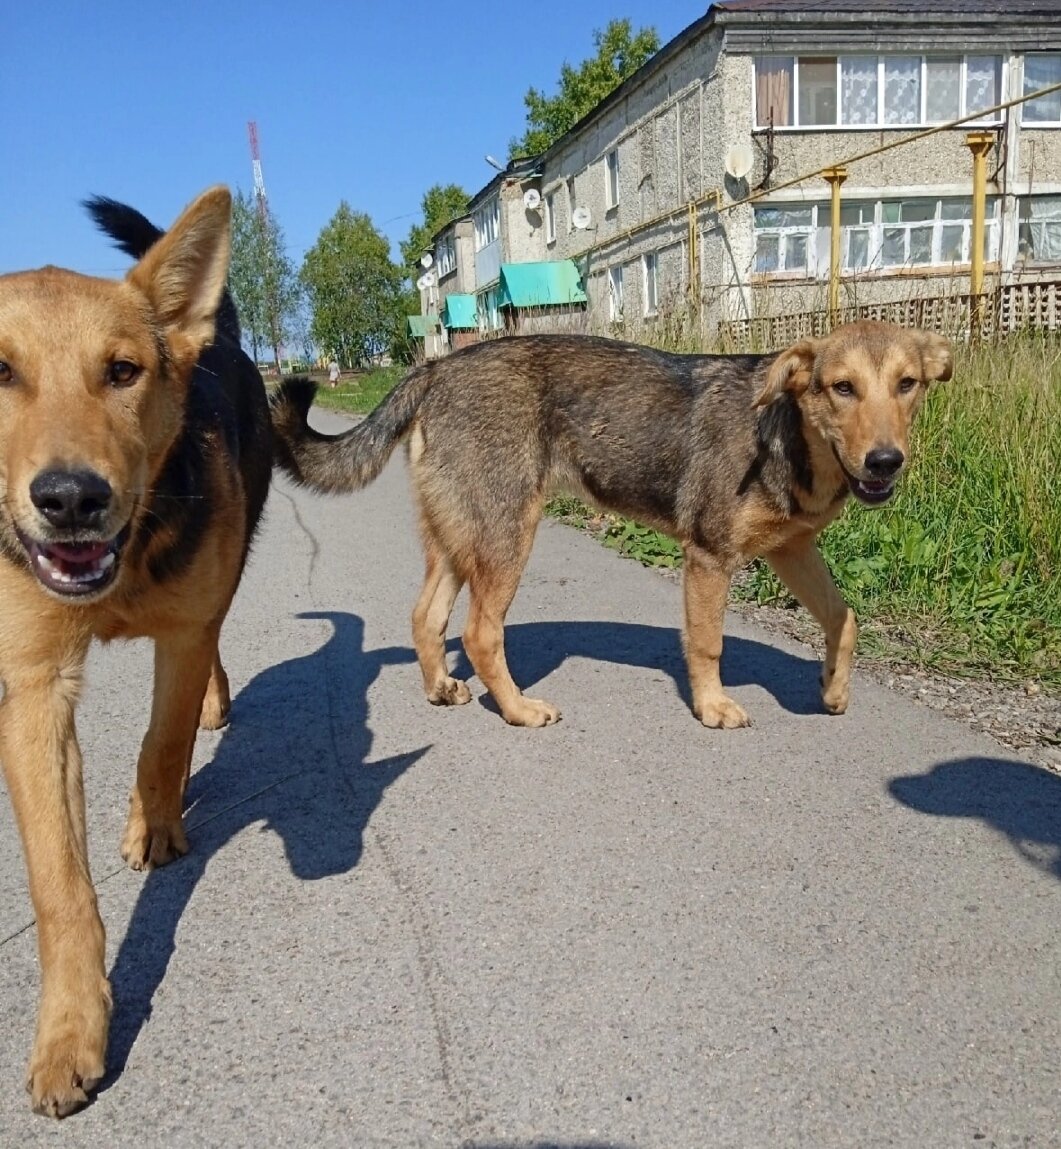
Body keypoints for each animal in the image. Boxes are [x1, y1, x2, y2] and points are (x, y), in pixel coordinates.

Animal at [0, 186, 271, 1112]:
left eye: (121, 371)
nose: (71, 499)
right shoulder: (32, 683)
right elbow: (59, 883)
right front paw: (70, 1029)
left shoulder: (181, 635)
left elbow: (159, 745)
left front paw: (152, 825)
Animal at [270, 319, 951, 726]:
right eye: (842, 388)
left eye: (907, 384)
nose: (886, 461)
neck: (789, 436)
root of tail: (434, 368)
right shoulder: (709, 558)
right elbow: (708, 642)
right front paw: (712, 707)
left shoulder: (793, 551)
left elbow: (844, 618)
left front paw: (834, 690)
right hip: (508, 536)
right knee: (480, 632)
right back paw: (518, 710)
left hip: (460, 539)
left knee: (426, 616)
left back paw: (442, 689)